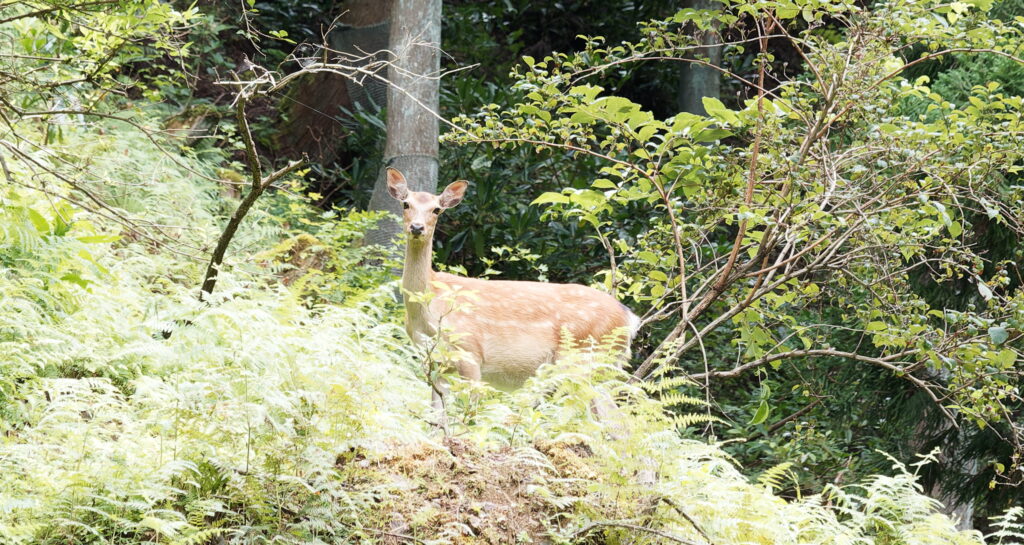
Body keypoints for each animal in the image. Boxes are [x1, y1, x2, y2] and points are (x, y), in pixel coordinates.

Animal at [385, 168, 638, 405]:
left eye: (437, 209)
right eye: (406, 203)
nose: (417, 227)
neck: (428, 308)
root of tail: (630, 318)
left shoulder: (470, 353)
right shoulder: (435, 362)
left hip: (585, 359)